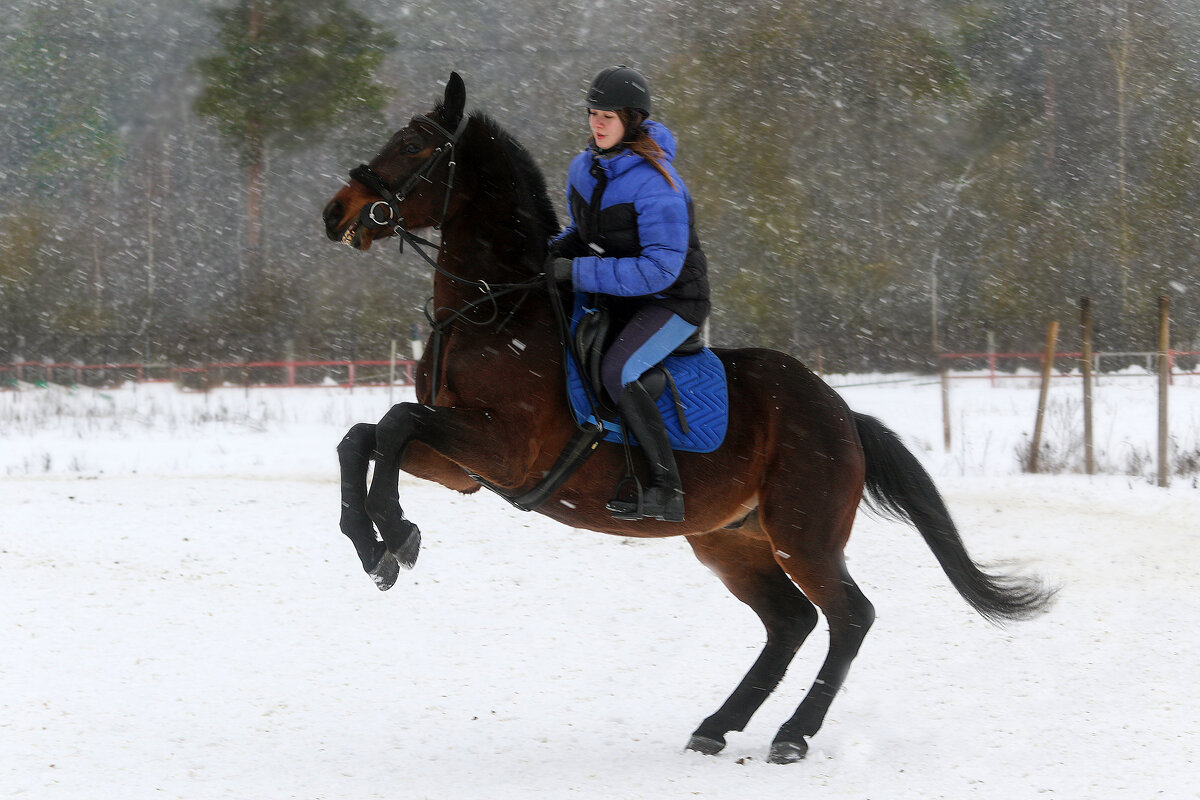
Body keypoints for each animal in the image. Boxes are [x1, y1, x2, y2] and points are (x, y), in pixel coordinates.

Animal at [319, 73, 1051, 762]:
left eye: (413, 147)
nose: (336, 212)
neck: (493, 309)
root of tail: (843, 413)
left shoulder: (502, 449)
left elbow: (394, 423)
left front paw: (397, 534)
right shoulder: (463, 465)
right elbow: (364, 437)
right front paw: (373, 546)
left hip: (804, 536)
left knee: (850, 617)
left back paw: (793, 736)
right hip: (730, 539)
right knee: (790, 622)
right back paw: (717, 727)